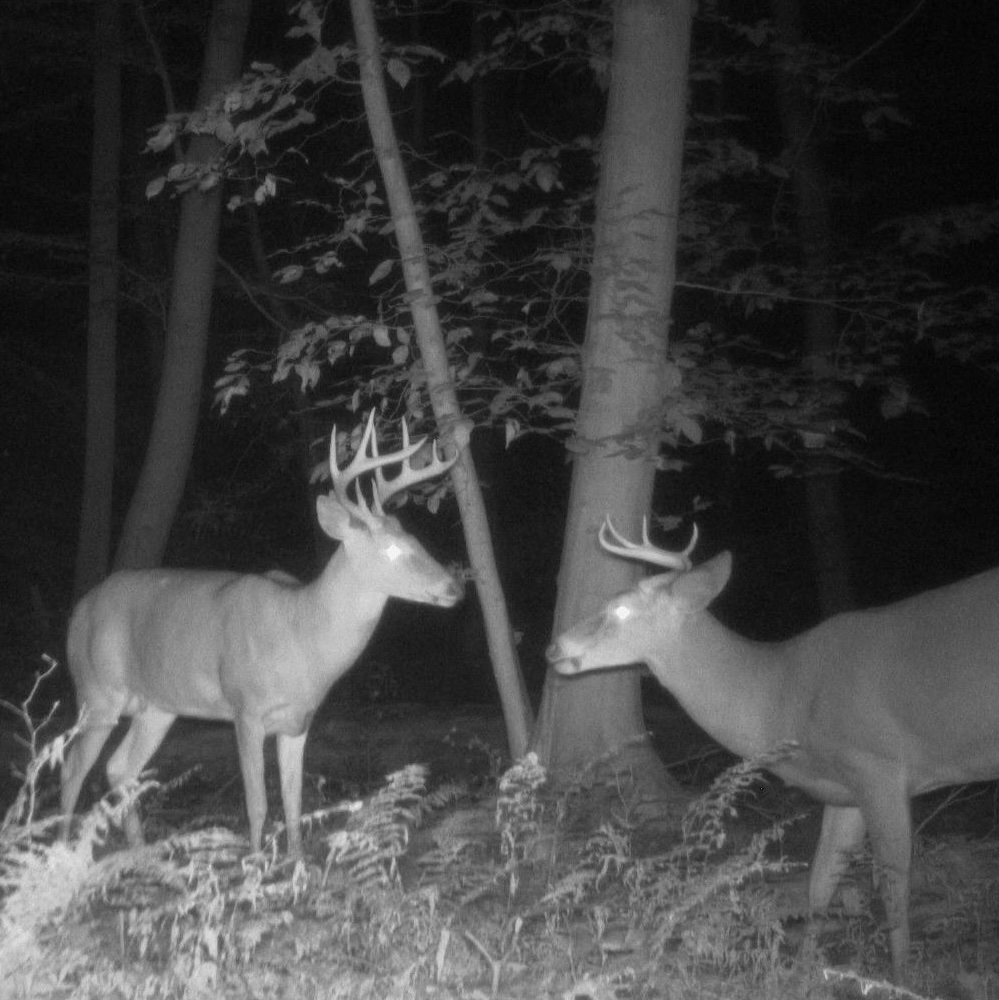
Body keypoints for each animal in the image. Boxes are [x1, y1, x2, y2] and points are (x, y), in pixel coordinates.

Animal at [61, 411, 463, 858]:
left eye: (417, 539)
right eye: (392, 550)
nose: (454, 587)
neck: (303, 638)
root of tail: (78, 612)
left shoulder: (299, 721)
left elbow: (293, 801)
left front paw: (298, 865)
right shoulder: (245, 709)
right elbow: (257, 803)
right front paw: (253, 865)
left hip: (157, 707)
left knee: (120, 767)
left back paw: (139, 852)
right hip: (96, 691)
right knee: (72, 768)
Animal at [546, 516, 999, 981]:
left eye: (619, 609)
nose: (554, 647)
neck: (781, 699)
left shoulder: (880, 767)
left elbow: (894, 887)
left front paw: (903, 978)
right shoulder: (844, 789)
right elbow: (819, 883)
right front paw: (804, 973)